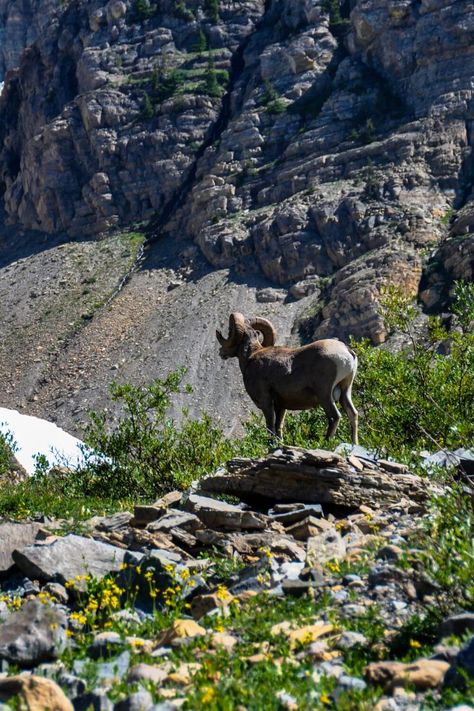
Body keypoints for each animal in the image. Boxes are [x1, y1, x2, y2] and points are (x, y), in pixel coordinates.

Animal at [217, 312, 358, 442]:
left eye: (229, 331)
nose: (221, 353)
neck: (251, 357)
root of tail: (347, 352)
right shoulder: (281, 406)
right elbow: (279, 427)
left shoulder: (266, 402)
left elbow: (270, 426)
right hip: (345, 391)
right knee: (353, 414)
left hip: (325, 395)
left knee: (335, 417)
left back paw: (325, 443)